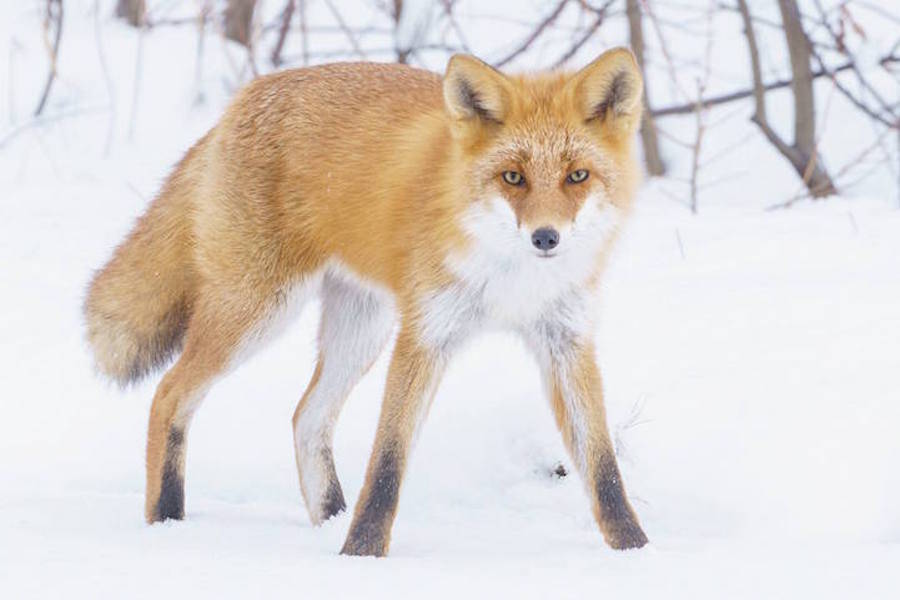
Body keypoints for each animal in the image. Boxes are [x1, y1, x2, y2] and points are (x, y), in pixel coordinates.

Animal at [82, 48, 648, 556]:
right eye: (513, 177)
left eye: (577, 176)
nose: (546, 237)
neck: (513, 280)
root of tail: (244, 97)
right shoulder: (425, 335)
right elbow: (388, 461)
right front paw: (363, 554)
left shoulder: (566, 340)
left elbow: (603, 468)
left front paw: (634, 552)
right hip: (257, 310)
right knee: (169, 394)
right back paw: (166, 522)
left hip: (360, 329)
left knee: (306, 417)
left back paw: (330, 519)